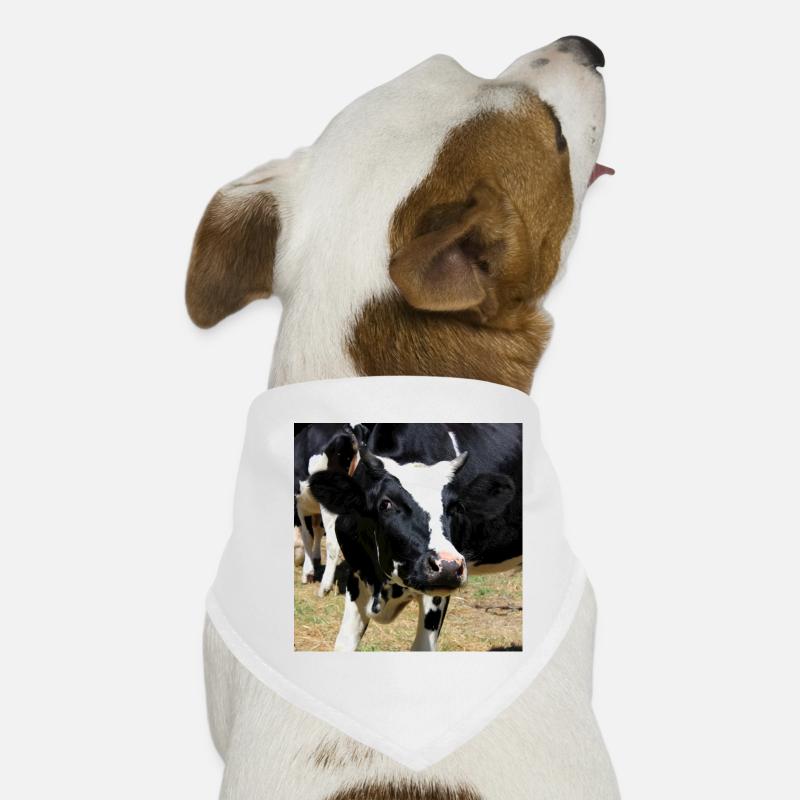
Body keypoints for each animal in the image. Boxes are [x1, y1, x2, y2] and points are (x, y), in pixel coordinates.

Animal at [308, 423, 522, 650]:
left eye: (456, 507)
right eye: (386, 504)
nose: (448, 566)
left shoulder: (436, 595)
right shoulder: (357, 573)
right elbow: (343, 644)